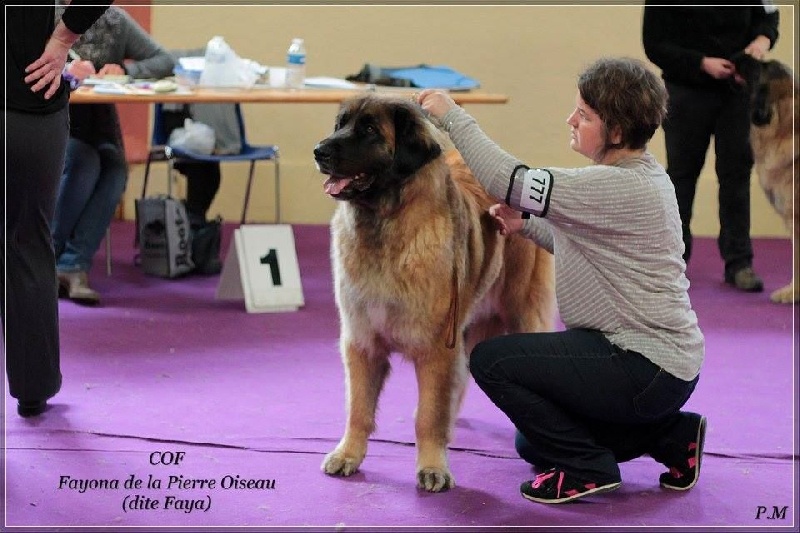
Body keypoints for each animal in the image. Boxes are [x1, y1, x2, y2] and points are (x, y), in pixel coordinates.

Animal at [313, 94, 555, 491]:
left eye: (369, 129)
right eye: (340, 125)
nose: (319, 151)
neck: (387, 228)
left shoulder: (436, 348)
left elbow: (428, 413)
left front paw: (432, 467)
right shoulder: (362, 342)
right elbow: (359, 409)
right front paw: (348, 454)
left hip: (520, 312)